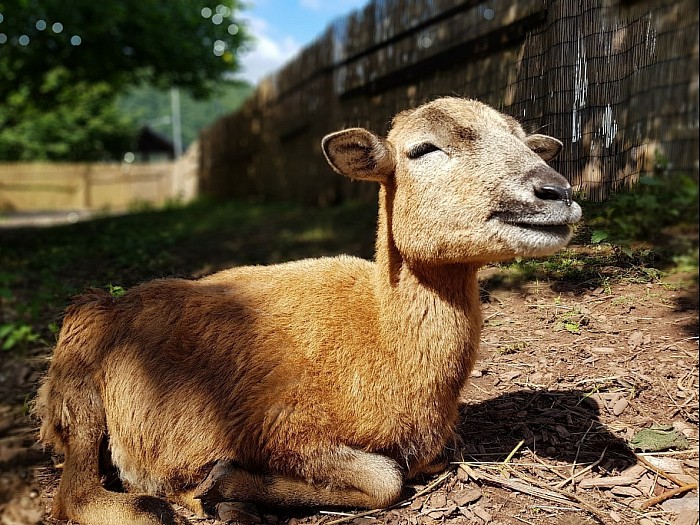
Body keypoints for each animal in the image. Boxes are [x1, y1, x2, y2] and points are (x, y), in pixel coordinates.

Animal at [34, 96, 580, 520]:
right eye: (423, 149)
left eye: (525, 141)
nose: (557, 191)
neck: (382, 335)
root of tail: (118, 300)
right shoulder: (278, 426)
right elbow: (385, 479)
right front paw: (224, 486)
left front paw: (229, 493)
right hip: (80, 380)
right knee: (73, 495)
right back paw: (151, 506)